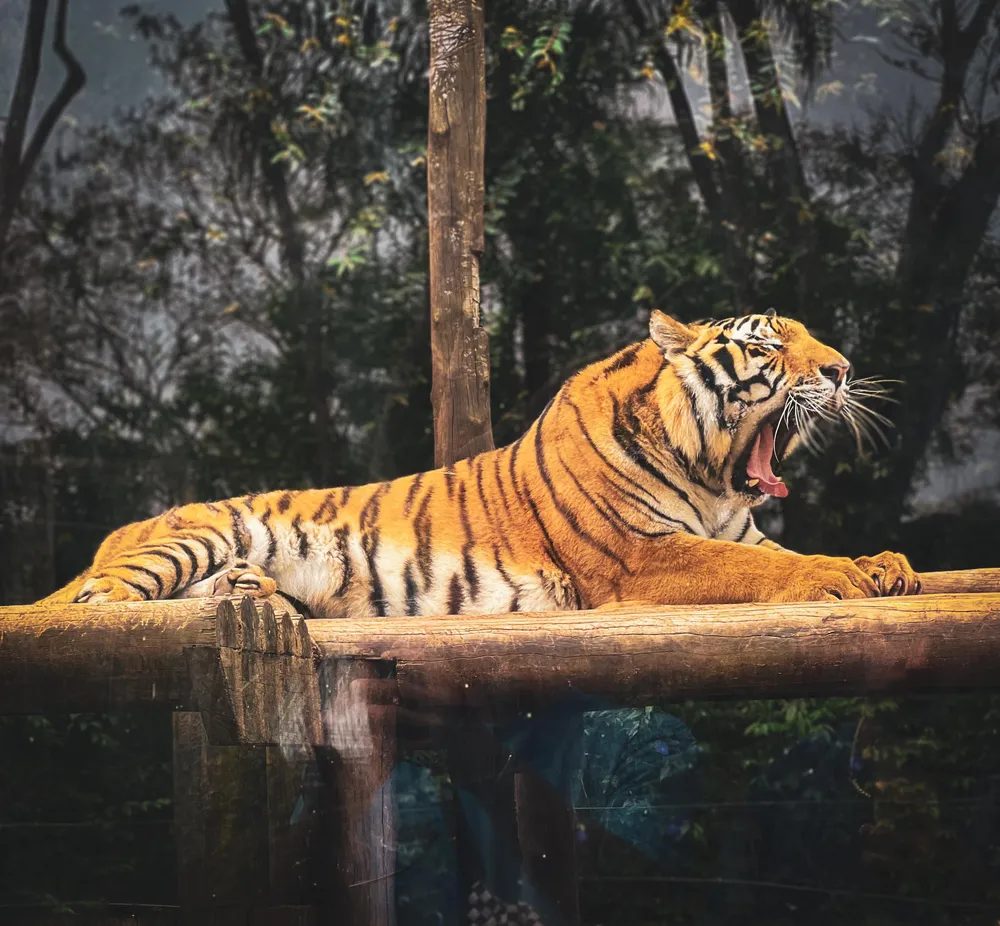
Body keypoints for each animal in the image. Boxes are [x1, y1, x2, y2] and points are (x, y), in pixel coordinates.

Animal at [39, 310, 919, 614]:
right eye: (770, 345)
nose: (843, 369)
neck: (708, 478)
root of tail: (115, 533)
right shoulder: (642, 557)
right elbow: (774, 569)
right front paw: (843, 577)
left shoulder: (738, 529)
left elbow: (790, 551)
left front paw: (886, 564)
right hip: (197, 536)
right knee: (100, 599)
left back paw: (250, 593)